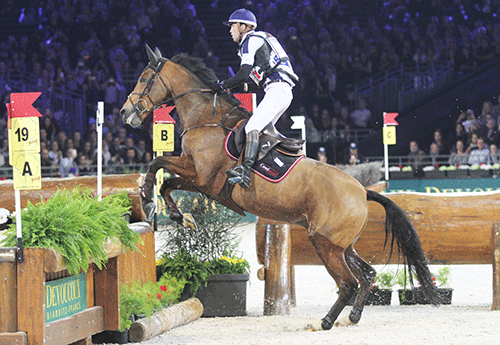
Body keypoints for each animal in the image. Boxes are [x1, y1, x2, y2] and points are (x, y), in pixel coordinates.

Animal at [119, 45, 440, 328]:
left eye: (144, 78)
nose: (125, 112)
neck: (207, 120)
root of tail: (362, 191)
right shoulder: (200, 181)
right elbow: (167, 183)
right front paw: (179, 216)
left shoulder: (200, 175)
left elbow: (157, 164)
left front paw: (147, 198)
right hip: (342, 245)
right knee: (368, 275)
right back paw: (354, 316)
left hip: (325, 243)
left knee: (348, 282)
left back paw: (326, 321)